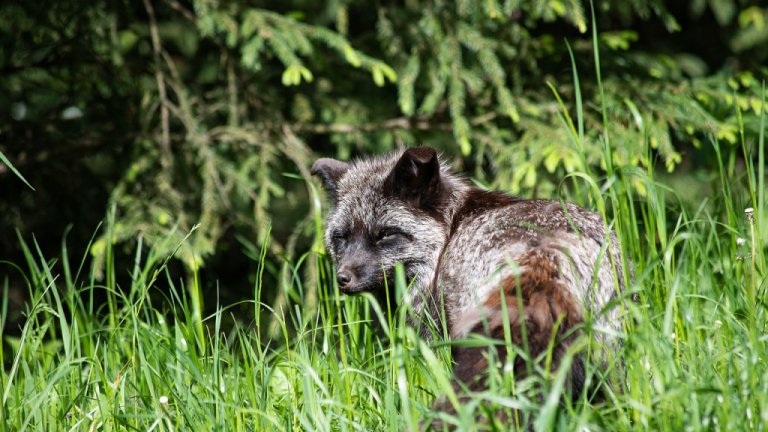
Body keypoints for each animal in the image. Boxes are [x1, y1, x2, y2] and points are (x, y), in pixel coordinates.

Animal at [310, 147, 624, 400]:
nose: (343, 278)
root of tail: (545, 252)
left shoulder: (431, 331)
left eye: (386, 235)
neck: (449, 232)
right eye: (341, 237)